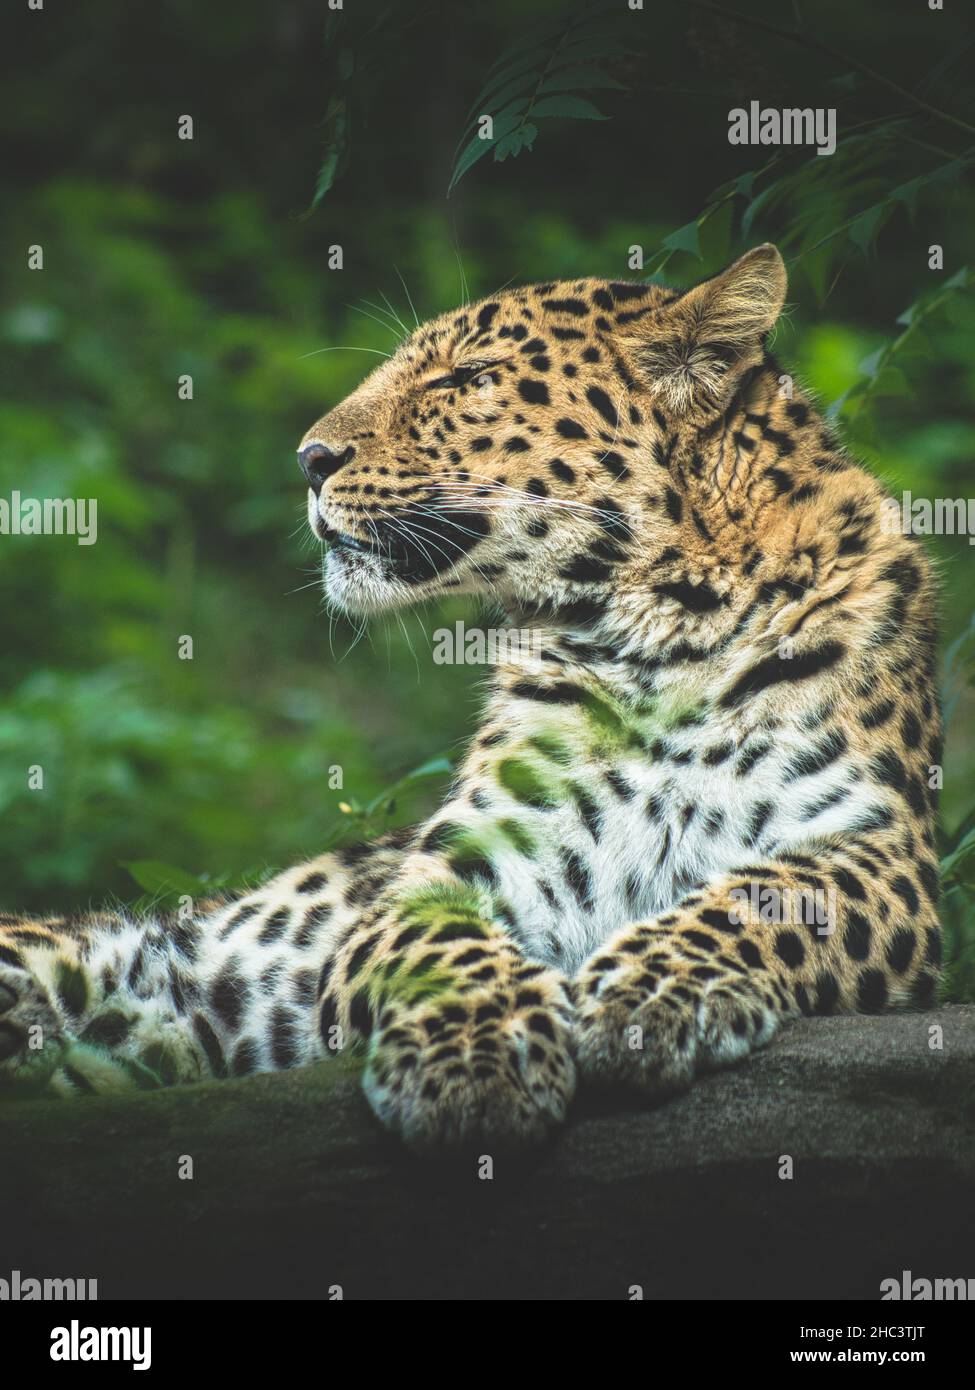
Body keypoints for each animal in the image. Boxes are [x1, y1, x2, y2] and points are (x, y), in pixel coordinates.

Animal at [0, 244, 942, 1153]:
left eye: (466, 377)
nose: (307, 461)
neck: (663, 629)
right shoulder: (452, 869)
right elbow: (440, 949)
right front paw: (477, 1059)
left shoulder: (883, 850)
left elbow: (758, 899)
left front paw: (647, 993)